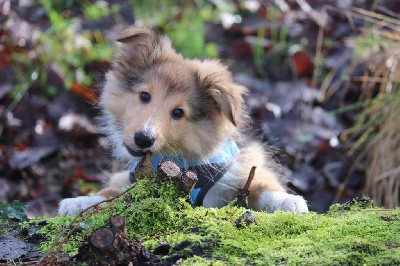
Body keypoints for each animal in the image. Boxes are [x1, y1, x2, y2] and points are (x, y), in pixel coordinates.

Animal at [57, 23, 308, 216]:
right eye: (145, 96)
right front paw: (79, 202)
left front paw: (289, 201)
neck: (179, 158)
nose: (143, 139)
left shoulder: (243, 164)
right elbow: (109, 194)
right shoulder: (133, 181)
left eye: (179, 113)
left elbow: (262, 182)